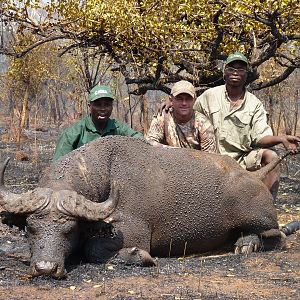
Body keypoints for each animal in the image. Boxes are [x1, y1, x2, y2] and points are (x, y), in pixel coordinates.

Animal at [0, 137, 298, 278]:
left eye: (69, 230)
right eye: (30, 228)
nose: (45, 268)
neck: (104, 176)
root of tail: (254, 177)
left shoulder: (133, 233)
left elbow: (94, 249)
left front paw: (139, 257)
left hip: (259, 218)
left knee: (278, 236)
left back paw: (248, 243)